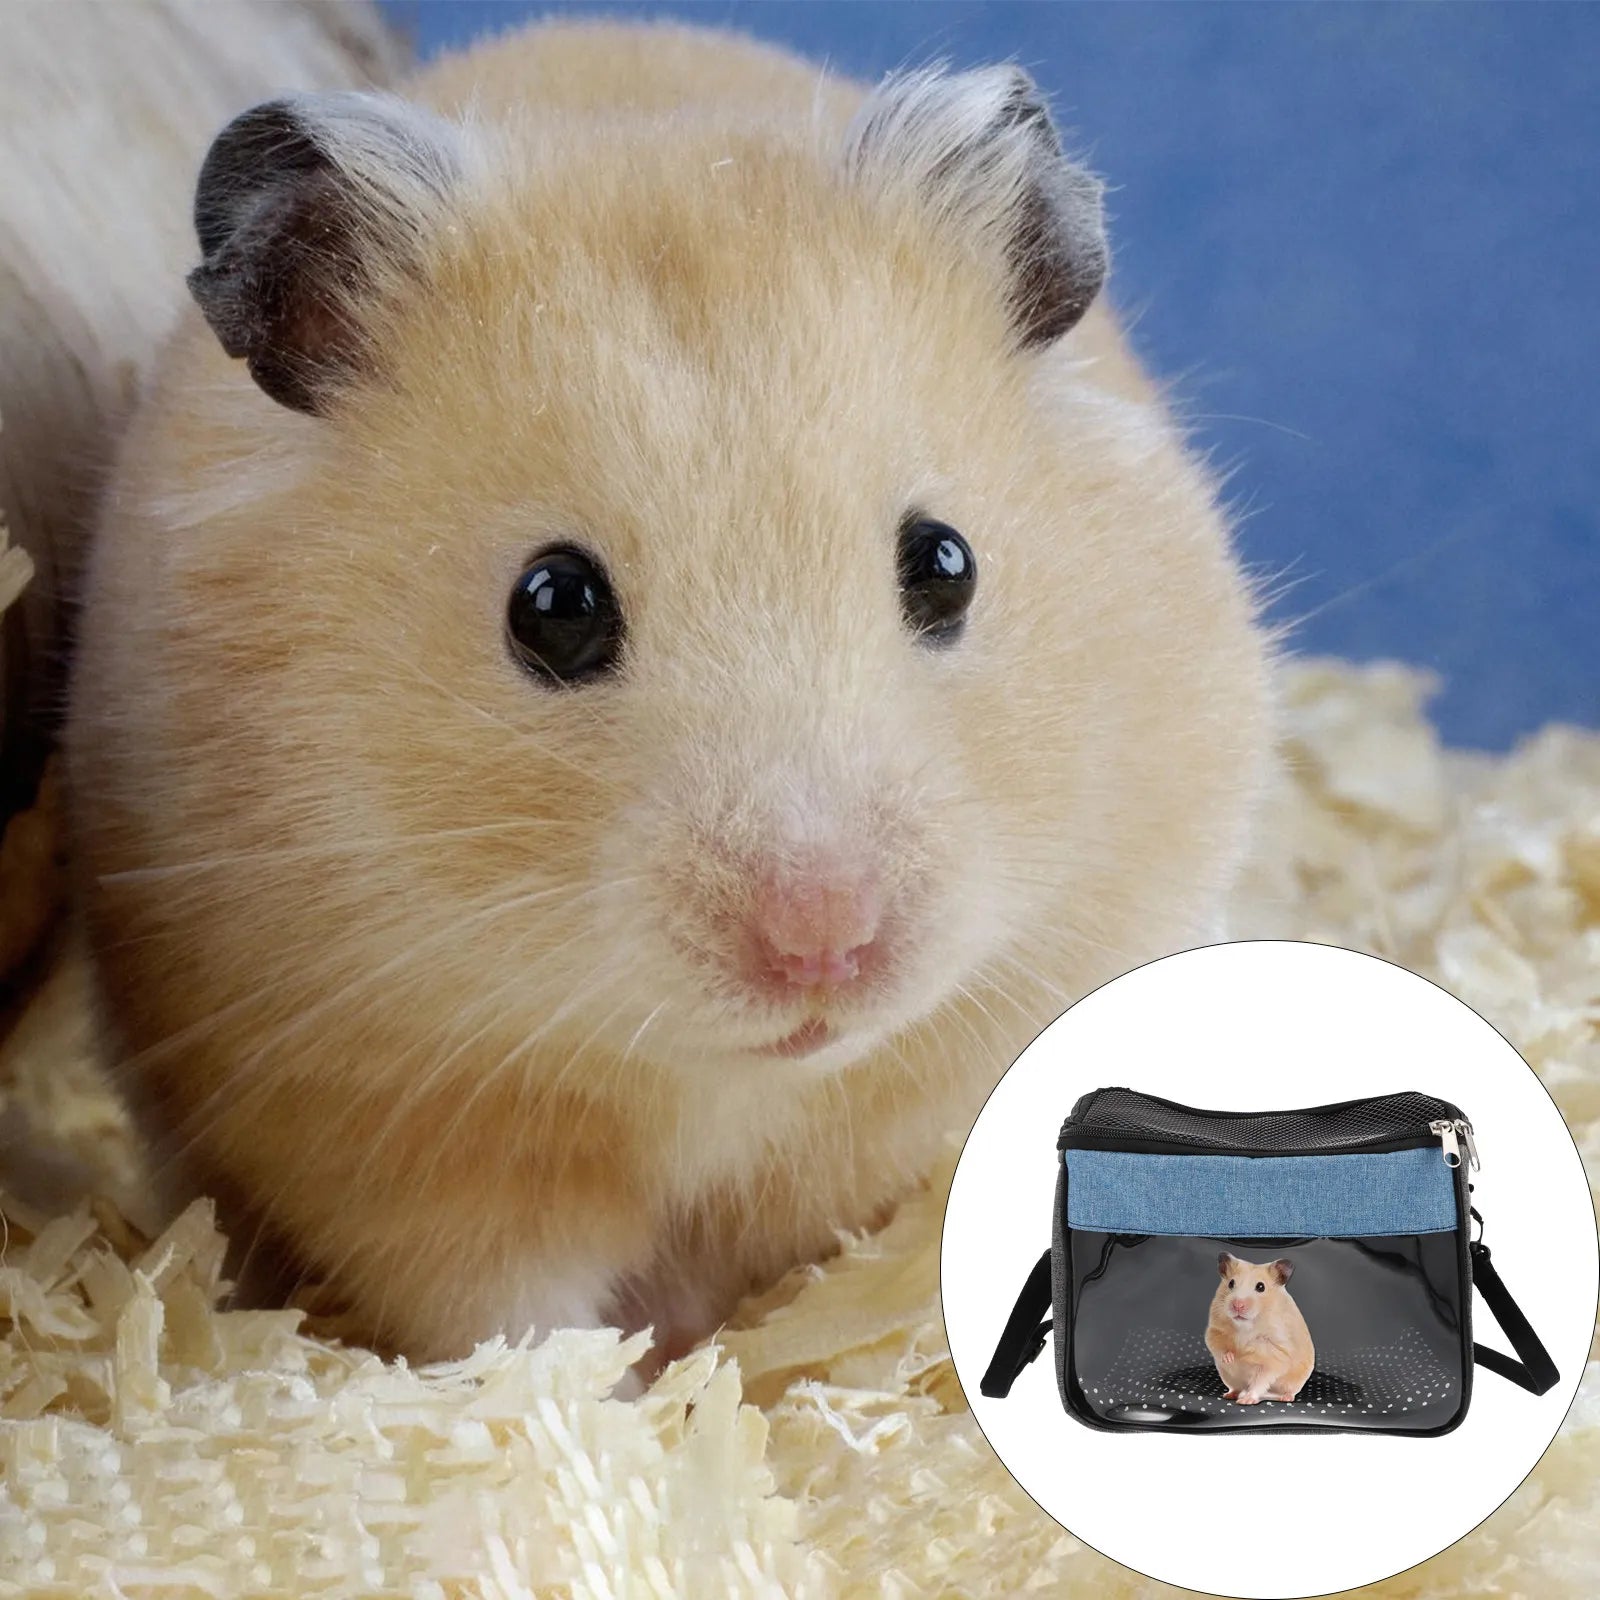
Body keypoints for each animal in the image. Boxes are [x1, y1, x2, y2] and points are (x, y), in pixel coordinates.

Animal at [66, 20, 1272, 1363]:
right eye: (553, 605)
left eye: (945, 563)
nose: (823, 946)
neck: (725, 1076)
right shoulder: (386, 1121)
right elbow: (506, 1309)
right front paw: (625, 1381)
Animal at [1206, 1253, 1315, 1404]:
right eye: (1231, 1283)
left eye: (1260, 1287)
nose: (1238, 1305)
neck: (1245, 1325)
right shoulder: (1215, 1330)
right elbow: (1219, 1346)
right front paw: (1231, 1357)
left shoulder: (1276, 1354)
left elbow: (1260, 1379)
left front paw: (1246, 1353)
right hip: (1229, 1378)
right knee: (1237, 1388)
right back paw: (1229, 1395)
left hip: (1294, 1382)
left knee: (1282, 1391)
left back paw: (1282, 1398)